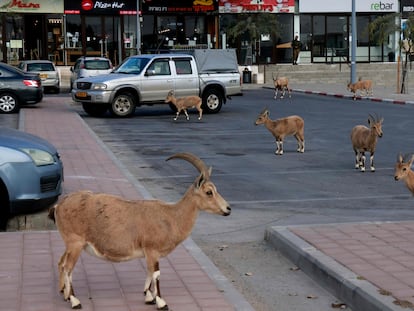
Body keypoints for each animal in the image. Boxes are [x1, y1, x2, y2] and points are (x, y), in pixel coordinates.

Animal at [49, 154, 230, 311]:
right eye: (209, 192)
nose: (228, 209)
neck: (171, 216)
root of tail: (59, 206)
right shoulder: (152, 249)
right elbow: (156, 273)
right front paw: (161, 302)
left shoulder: (149, 253)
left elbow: (149, 271)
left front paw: (148, 297)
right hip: (76, 242)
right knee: (67, 267)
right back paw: (74, 301)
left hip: (71, 244)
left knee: (61, 262)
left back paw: (64, 294)